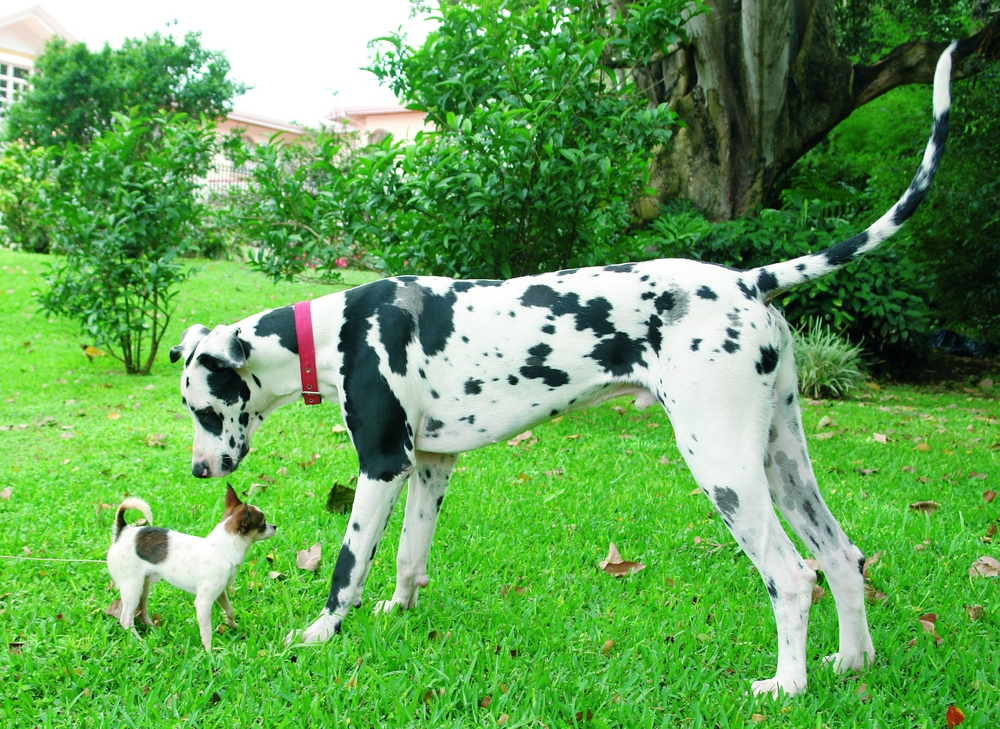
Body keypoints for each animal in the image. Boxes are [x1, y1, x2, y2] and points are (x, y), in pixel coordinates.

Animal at [105, 486, 276, 652]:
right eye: (263, 524)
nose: (274, 526)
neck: (221, 549)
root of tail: (122, 532)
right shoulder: (203, 602)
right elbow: (206, 631)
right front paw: (209, 652)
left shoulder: (220, 592)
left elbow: (230, 610)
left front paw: (232, 625)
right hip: (132, 587)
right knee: (126, 618)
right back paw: (139, 642)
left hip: (143, 585)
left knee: (142, 608)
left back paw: (152, 628)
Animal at [170, 45, 952, 692]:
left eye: (203, 408)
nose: (201, 471)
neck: (333, 332)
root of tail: (747, 279)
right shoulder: (431, 465)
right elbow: (407, 559)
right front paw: (400, 612)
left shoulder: (382, 466)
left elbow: (347, 565)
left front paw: (319, 633)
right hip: (783, 462)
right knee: (844, 558)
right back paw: (851, 662)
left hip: (725, 467)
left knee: (792, 576)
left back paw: (786, 686)